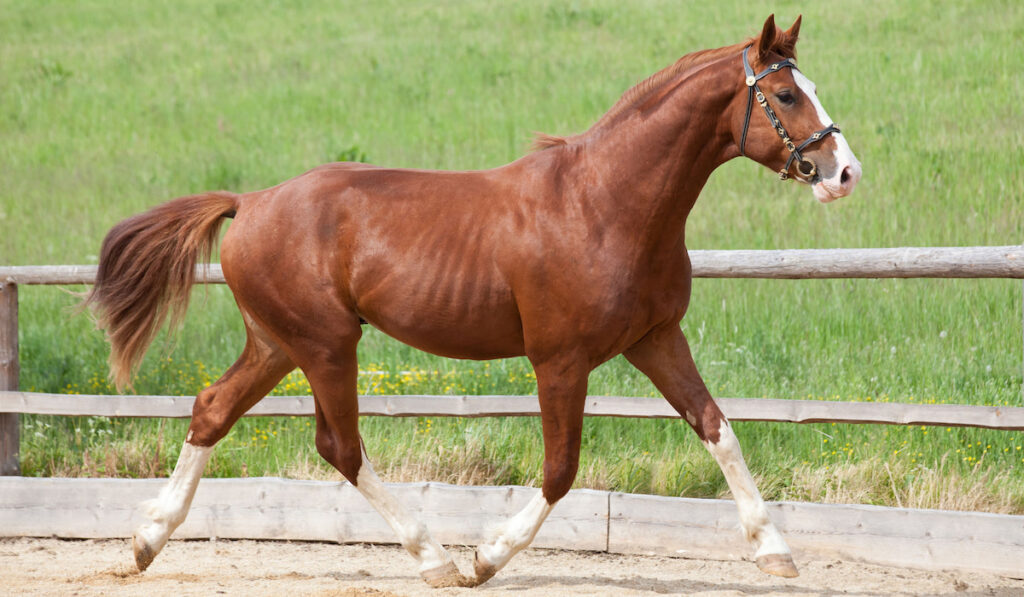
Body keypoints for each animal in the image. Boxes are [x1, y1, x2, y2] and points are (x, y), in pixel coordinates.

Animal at [86, 14, 856, 589]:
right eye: (787, 96)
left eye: (813, 87)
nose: (843, 172)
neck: (606, 204)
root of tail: (249, 202)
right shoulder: (559, 360)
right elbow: (560, 469)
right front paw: (487, 556)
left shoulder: (656, 338)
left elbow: (717, 427)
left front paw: (775, 551)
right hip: (326, 343)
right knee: (340, 445)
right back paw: (434, 557)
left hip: (278, 343)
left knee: (212, 410)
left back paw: (145, 542)